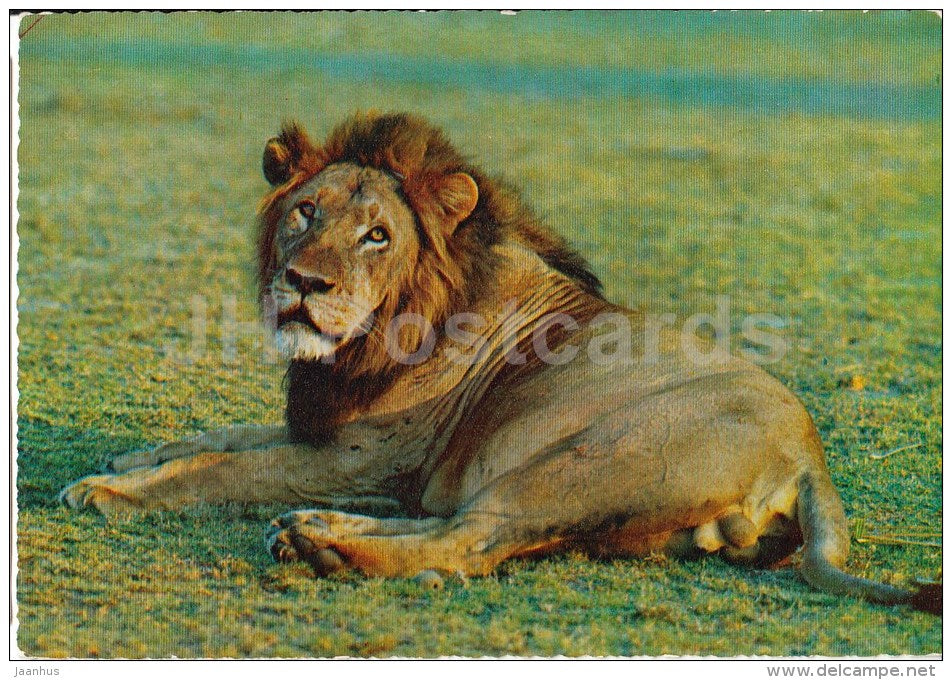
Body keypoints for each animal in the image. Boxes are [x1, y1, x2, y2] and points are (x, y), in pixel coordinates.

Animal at [60, 112, 940, 614]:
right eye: (304, 212)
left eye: (376, 235)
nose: (305, 283)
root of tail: (809, 458)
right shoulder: (327, 430)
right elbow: (219, 437)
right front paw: (128, 458)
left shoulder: (360, 456)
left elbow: (222, 468)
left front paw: (110, 491)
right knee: (459, 527)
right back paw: (313, 532)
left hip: (583, 461)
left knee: (468, 541)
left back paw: (323, 545)